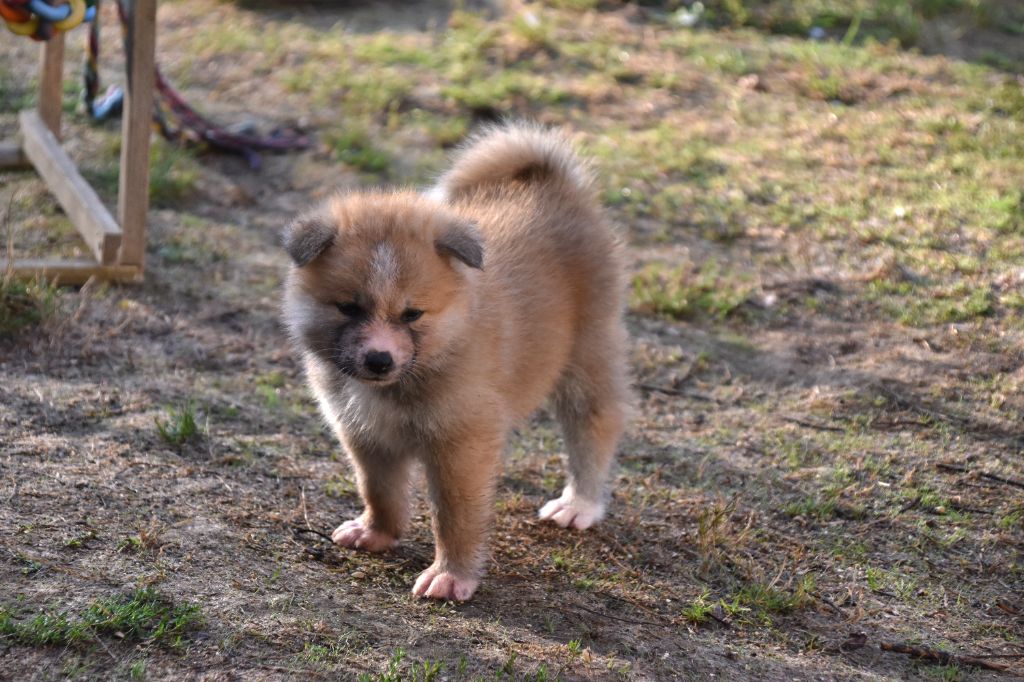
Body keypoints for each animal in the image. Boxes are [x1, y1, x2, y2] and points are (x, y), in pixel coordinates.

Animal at [282, 122, 630, 601]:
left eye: (412, 314)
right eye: (349, 308)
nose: (379, 360)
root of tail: (550, 184)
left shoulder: (459, 445)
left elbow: (455, 517)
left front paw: (452, 575)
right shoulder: (366, 435)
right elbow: (379, 490)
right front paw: (377, 532)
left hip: (586, 356)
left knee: (593, 430)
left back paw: (580, 503)